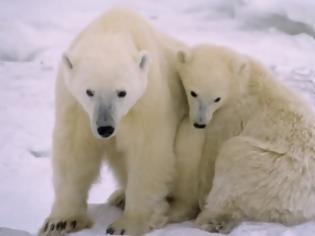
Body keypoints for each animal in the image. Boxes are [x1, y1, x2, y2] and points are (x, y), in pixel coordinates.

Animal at [39, 8, 188, 235]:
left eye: (122, 92)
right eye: (89, 91)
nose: (105, 128)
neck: (113, 26)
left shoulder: (148, 98)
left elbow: (147, 152)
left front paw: (127, 225)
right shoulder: (74, 104)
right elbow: (75, 151)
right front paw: (61, 222)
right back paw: (119, 196)